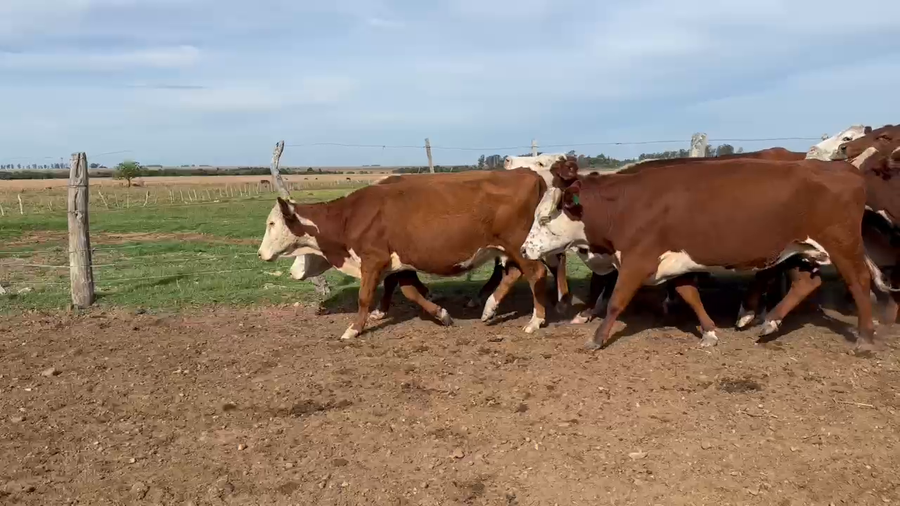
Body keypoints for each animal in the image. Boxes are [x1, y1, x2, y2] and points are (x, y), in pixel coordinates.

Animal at [258, 147, 553, 340]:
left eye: (271, 224)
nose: (261, 253)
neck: (350, 216)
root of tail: (530, 175)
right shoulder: (400, 262)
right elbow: (410, 291)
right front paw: (441, 314)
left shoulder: (373, 259)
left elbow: (364, 297)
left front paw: (354, 328)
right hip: (507, 249)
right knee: (513, 273)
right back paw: (489, 308)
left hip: (519, 246)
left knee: (535, 273)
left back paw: (536, 320)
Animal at [520, 156, 895, 352]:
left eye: (544, 218)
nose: (525, 248)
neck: (626, 205)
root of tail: (843, 168)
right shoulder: (673, 261)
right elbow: (689, 294)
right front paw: (710, 331)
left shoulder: (638, 260)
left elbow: (616, 300)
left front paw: (597, 338)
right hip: (801, 249)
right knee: (807, 282)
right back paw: (770, 322)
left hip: (842, 245)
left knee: (859, 282)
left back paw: (865, 337)